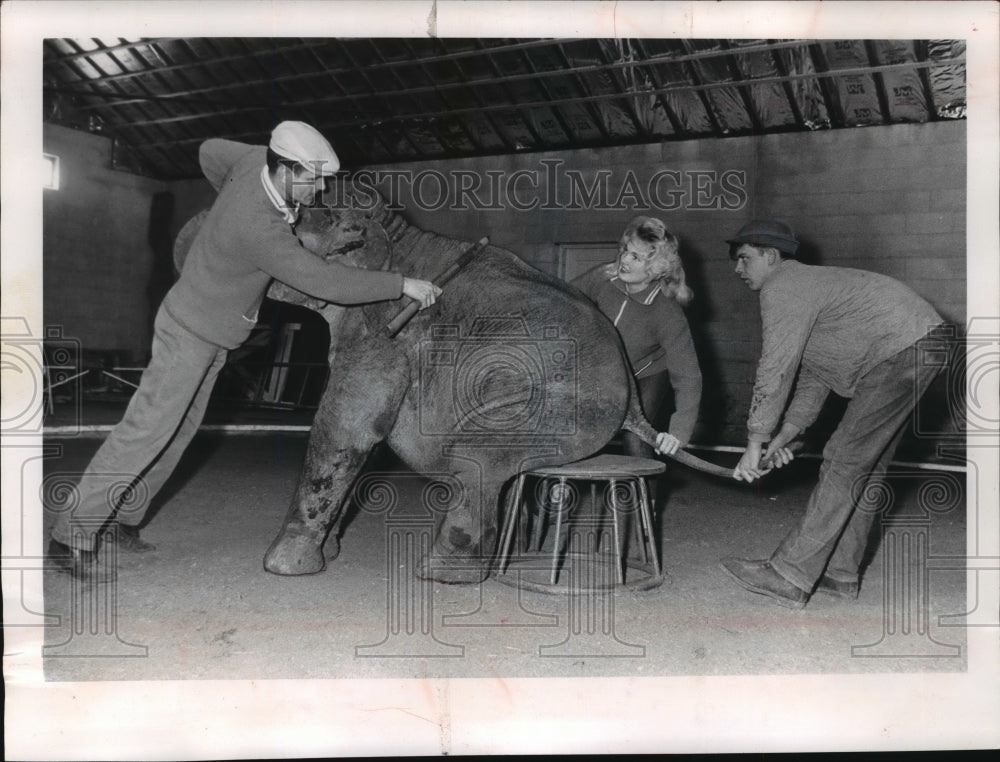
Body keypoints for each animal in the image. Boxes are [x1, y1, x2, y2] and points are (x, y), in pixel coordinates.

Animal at [177, 183, 668, 580]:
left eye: (289, 219)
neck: (397, 234)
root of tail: (632, 396)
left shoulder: (385, 331)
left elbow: (347, 425)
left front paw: (284, 567)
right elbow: (368, 438)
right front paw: (329, 553)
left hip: (558, 404)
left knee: (476, 458)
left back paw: (441, 574)